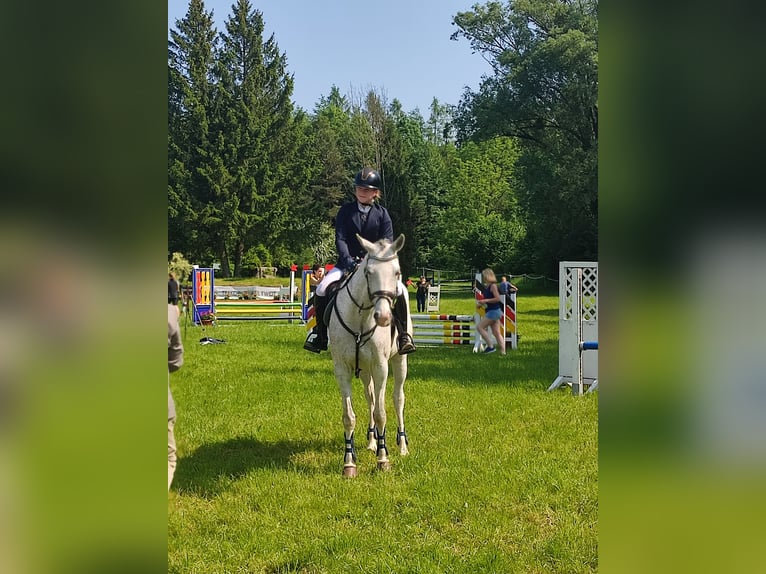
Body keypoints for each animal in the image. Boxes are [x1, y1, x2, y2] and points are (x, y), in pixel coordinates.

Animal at [327, 234, 411, 478]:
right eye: (368, 272)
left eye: (397, 272)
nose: (383, 317)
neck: (361, 316)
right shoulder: (342, 369)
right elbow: (349, 416)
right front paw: (349, 463)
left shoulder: (381, 367)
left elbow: (382, 413)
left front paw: (383, 460)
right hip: (364, 370)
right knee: (371, 398)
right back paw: (372, 442)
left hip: (399, 362)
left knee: (397, 399)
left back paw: (402, 446)